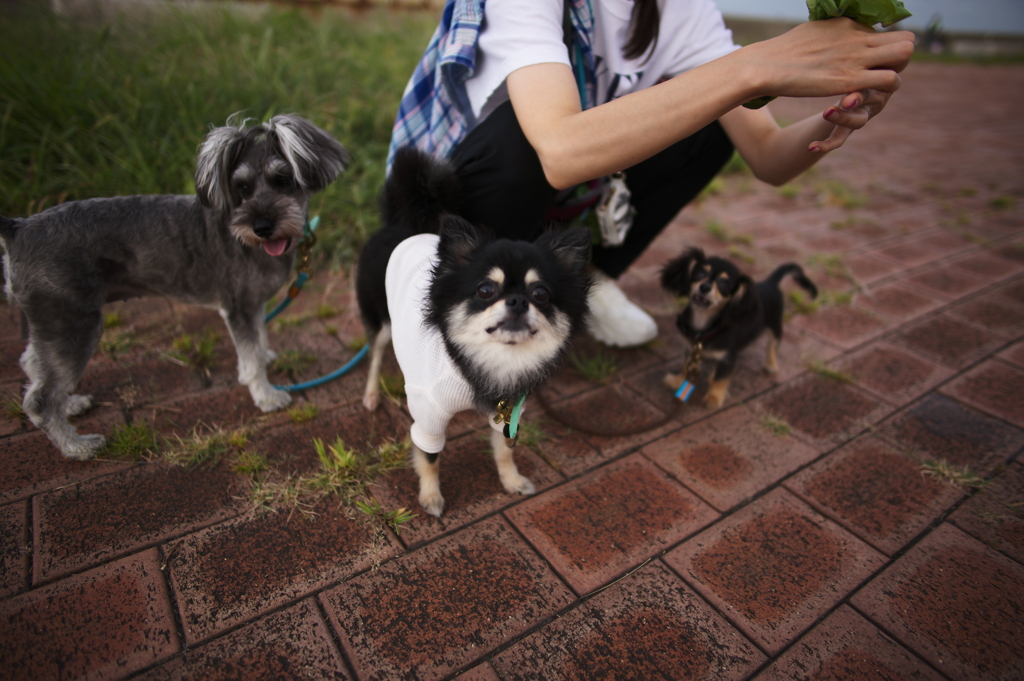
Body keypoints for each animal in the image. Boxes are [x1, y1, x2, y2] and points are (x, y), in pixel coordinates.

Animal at [1, 114, 348, 458]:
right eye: (243, 188)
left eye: (283, 180)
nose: (261, 226)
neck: (251, 243)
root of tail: (19, 229)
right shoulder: (237, 307)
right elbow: (251, 357)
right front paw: (266, 395)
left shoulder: (254, 305)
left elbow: (257, 342)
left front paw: (261, 361)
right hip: (75, 325)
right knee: (39, 399)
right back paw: (76, 446)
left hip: (56, 323)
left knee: (31, 363)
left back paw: (70, 405)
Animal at [663, 249, 815, 409]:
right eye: (700, 273)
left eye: (724, 283)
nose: (705, 287)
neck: (703, 326)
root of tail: (770, 282)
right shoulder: (691, 350)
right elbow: (686, 367)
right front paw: (677, 381)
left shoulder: (728, 359)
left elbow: (720, 379)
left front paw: (714, 397)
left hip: (775, 326)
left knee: (772, 346)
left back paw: (771, 365)